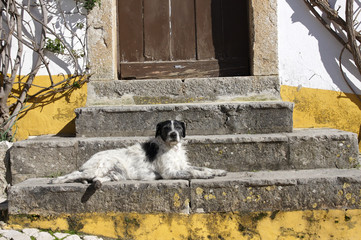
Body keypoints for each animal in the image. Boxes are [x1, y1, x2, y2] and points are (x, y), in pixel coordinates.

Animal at [50, 119, 226, 188]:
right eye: (166, 128)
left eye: (178, 127)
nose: (173, 134)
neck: (172, 148)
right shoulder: (169, 172)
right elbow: (193, 172)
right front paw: (205, 175)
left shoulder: (182, 165)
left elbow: (200, 167)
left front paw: (217, 171)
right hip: (96, 168)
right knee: (73, 174)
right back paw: (56, 180)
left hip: (116, 173)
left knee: (99, 178)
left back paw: (97, 183)